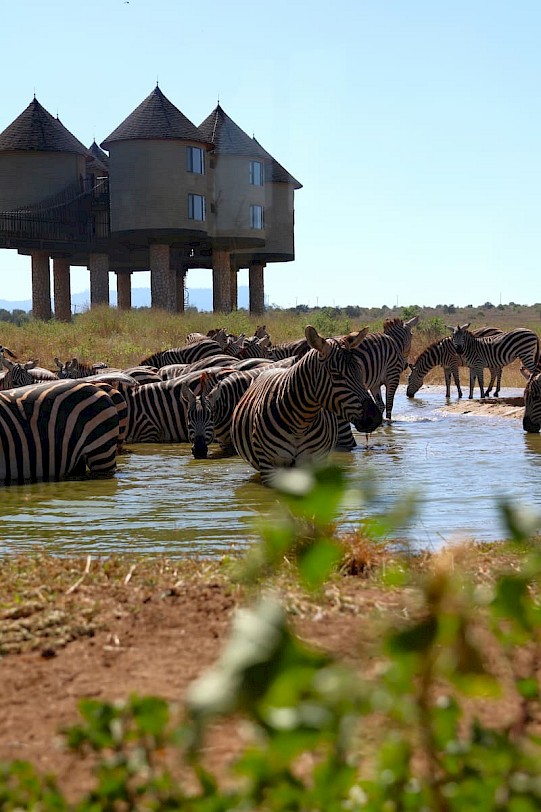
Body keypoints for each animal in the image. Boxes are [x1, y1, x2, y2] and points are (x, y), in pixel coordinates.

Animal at [230, 326, 382, 486]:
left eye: (361, 371)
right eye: (336, 375)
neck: (300, 423)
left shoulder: (316, 462)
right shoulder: (270, 466)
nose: (375, 418)